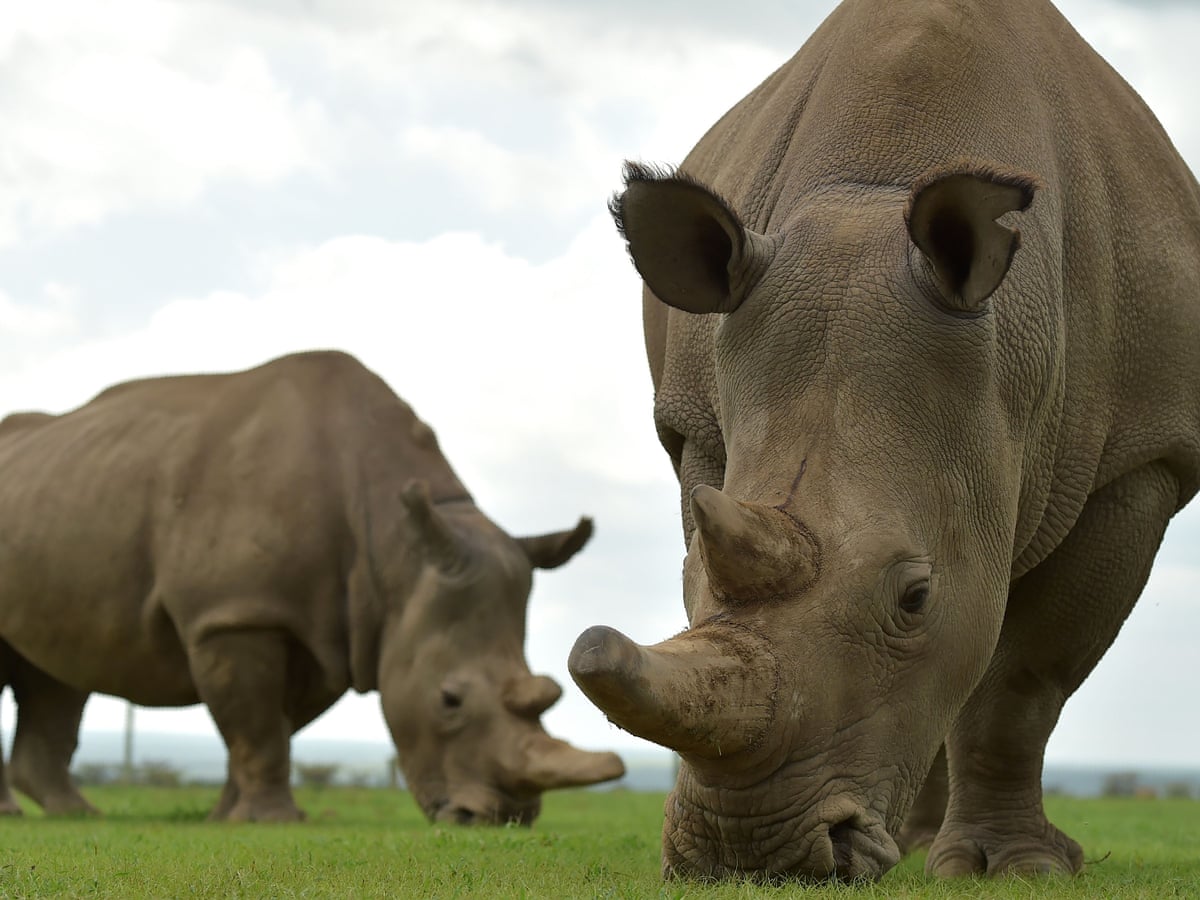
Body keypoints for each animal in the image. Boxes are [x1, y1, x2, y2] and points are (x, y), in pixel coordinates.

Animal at [0, 350, 624, 822]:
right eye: (448, 700)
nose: (504, 818)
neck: (393, 551)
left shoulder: (335, 628)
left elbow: (267, 726)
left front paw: (232, 818)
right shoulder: (236, 614)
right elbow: (255, 725)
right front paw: (270, 821)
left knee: (55, 675)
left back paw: (75, 814)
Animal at [569, 0, 1200, 883]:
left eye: (914, 597)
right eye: (688, 578)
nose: (747, 853)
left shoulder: (1143, 459)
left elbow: (1023, 676)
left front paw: (1018, 869)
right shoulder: (698, 427)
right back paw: (915, 847)